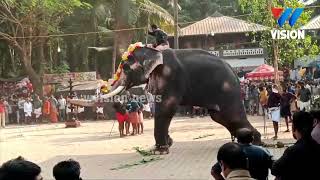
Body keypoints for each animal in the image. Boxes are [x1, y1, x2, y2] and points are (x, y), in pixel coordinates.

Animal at [94, 46, 260, 153]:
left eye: (126, 67)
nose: (101, 87)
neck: (153, 51)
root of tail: (234, 72)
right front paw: (168, 144)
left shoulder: (170, 77)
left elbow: (166, 108)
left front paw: (159, 150)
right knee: (221, 116)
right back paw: (248, 142)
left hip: (228, 91)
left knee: (232, 115)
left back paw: (256, 143)